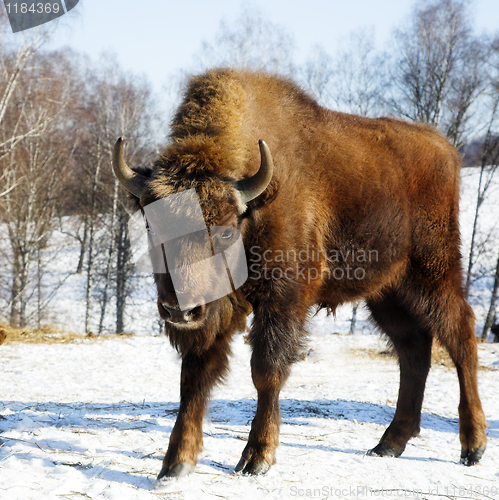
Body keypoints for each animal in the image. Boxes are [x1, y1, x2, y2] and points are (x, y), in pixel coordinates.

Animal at [112, 68, 488, 478]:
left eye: (225, 230)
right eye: (151, 226)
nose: (180, 309)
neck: (255, 207)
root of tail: (445, 148)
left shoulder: (283, 299)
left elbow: (266, 370)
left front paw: (257, 457)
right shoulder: (215, 313)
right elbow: (194, 376)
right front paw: (176, 463)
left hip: (433, 274)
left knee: (460, 334)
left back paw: (473, 446)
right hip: (386, 292)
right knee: (413, 348)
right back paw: (389, 443)